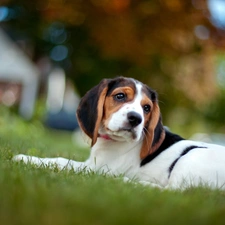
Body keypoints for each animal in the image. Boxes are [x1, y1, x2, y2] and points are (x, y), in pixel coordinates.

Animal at [13, 76, 225, 189]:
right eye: (120, 96)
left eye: (146, 108)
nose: (136, 119)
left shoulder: (97, 168)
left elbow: (62, 162)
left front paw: (25, 158)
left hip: (191, 158)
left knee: (177, 192)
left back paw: (130, 183)